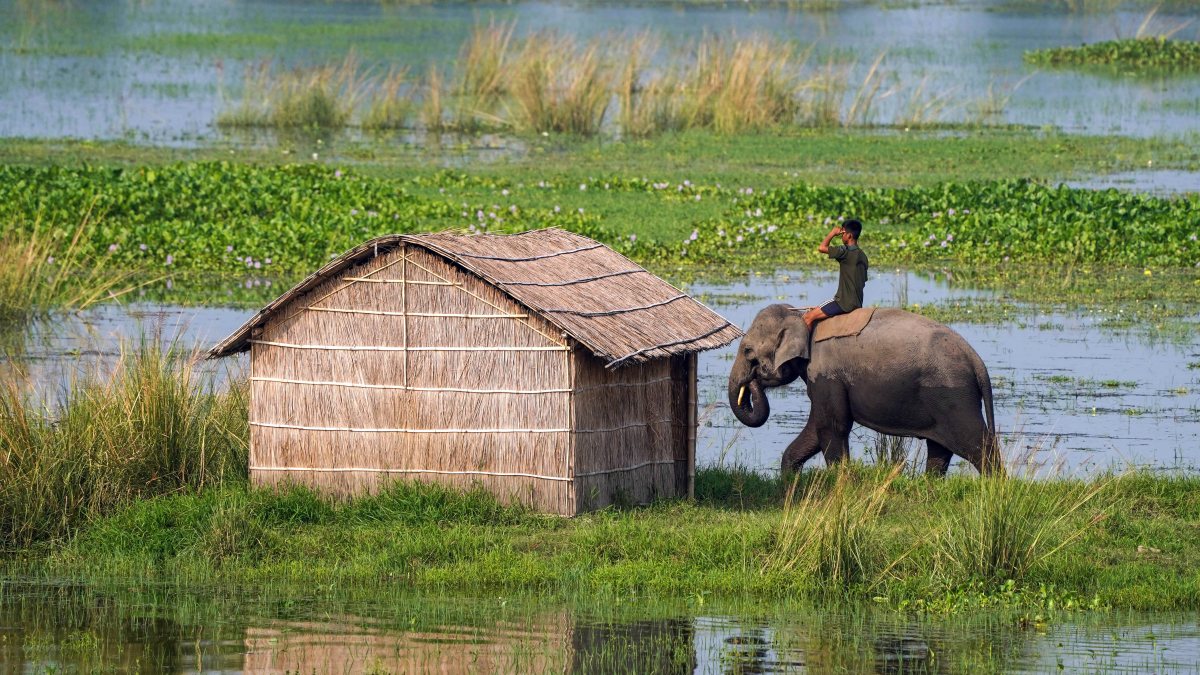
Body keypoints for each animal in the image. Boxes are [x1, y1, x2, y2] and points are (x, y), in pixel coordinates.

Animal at [727, 304, 1001, 475]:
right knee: (939, 449)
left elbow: (830, 425)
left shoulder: (826, 374)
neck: (802, 317)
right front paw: (789, 481)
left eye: (748, 351)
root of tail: (976, 360)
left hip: (954, 397)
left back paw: (994, 489)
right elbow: (817, 429)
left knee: (979, 445)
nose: (753, 378)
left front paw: (839, 480)